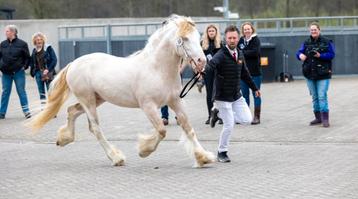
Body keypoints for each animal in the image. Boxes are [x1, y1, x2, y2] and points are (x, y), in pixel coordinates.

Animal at [27, 15, 215, 167]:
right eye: (184, 38)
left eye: (198, 38)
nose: (202, 61)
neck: (157, 69)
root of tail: (74, 64)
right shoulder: (148, 106)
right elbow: (162, 131)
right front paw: (144, 150)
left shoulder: (175, 101)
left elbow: (188, 128)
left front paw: (204, 157)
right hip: (88, 101)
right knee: (95, 128)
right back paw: (116, 158)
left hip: (97, 99)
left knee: (72, 111)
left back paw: (64, 138)